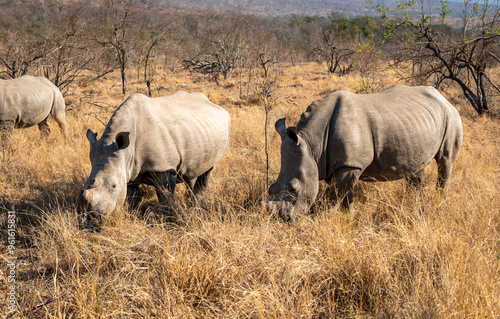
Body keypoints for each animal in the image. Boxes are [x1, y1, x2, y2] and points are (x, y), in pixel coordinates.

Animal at [79, 92, 230, 228]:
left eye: (114, 186)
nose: (95, 218)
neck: (125, 152)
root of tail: (213, 104)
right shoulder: (129, 170)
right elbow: (133, 200)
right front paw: (134, 217)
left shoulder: (164, 167)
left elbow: (165, 197)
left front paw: (168, 221)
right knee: (192, 172)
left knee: (208, 170)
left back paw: (196, 207)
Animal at [268, 85, 462, 222]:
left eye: (293, 188)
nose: (282, 219)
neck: (312, 144)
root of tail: (443, 98)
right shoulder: (338, 164)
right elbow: (345, 195)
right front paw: (351, 216)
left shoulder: (351, 164)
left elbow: (336, 196)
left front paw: (325, 218)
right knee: (416, 166)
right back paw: (414, 203)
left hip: (452, 116)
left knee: (445, 161)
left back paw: (440, 200)